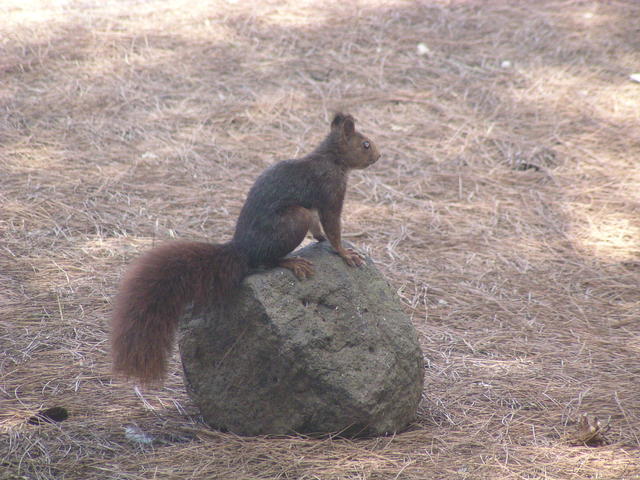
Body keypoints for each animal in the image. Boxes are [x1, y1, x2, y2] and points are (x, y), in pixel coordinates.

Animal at [111, 113, 381, 385]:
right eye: (365, 144)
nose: (379, 156)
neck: (331, 157)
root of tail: (243, 248)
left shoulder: (317, 203)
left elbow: (318, 225)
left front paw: (320, 237)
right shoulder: (331, 190)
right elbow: (332, 225)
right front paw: (345, 253)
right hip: (295, 219)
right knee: (267, 261)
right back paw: (291, 262)